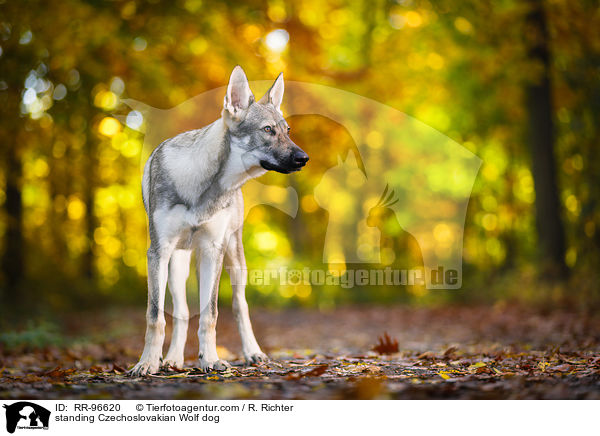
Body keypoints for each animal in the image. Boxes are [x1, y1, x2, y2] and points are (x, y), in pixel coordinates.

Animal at [130, 66, 310, 376]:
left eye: (287, 131)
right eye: (267, 130)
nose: (304, 158)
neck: (203, 185)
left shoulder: (213, 251)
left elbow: (211, 315)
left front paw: (210, 359)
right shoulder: (158, 252)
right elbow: (155, 316)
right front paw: (148, 362)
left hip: (234, 260)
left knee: (240, 306)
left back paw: (252, 352)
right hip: (177, 267)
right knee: (181, 312)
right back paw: (173, 359)